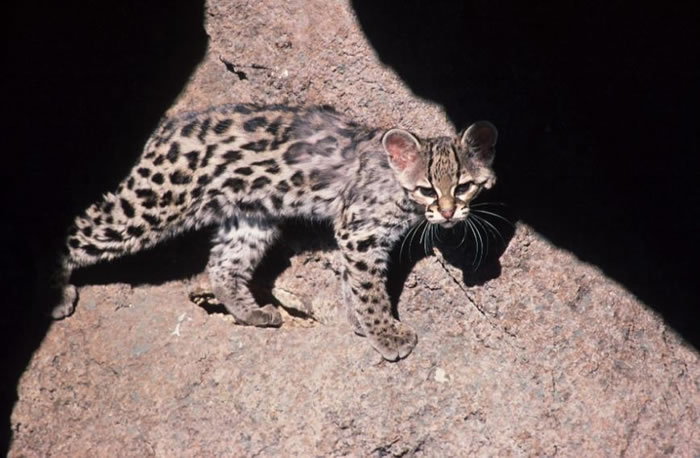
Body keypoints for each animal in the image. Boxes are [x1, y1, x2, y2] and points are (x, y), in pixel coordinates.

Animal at [52, 104, 494, 362]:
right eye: (427, 190)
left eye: (464, 187)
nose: (450, 213)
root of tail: (169, 125)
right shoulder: (359, 230)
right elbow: (368, 286)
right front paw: (385, 333)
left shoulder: (356, 235)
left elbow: (353, 282)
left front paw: (361, 321)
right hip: (153, 203)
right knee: (80, 229)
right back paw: (57, 292)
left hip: (251, 217)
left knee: (222, 265)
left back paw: (250, 312)